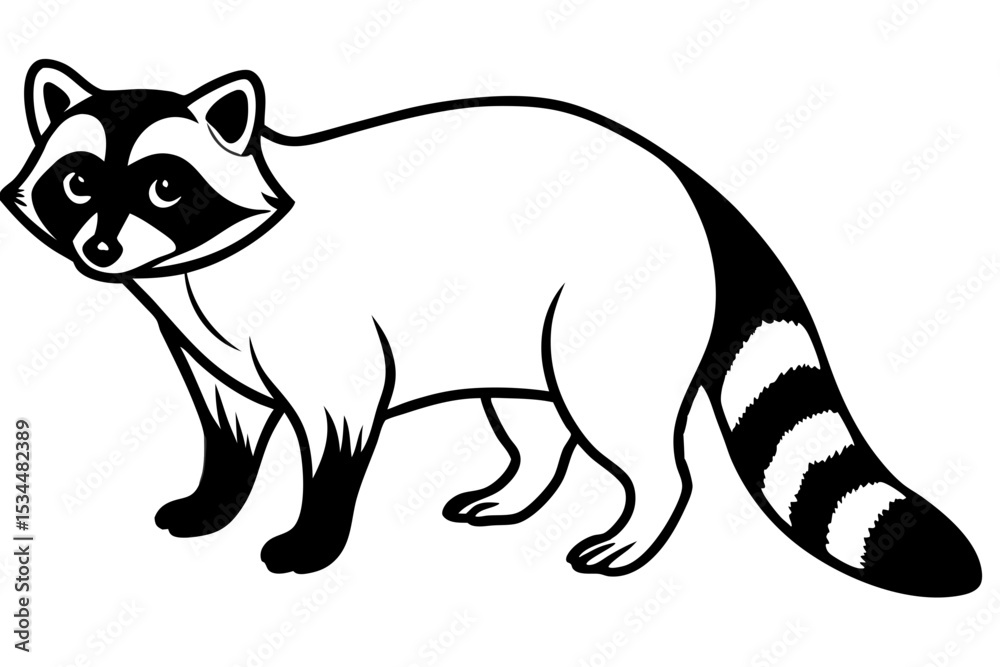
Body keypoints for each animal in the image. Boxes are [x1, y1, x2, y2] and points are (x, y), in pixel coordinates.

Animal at [2, 60, 980, 596]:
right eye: (78, 182)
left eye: (165, 186)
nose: (100, 245)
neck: (191, 272)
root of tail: (685, 177)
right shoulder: (207, 348)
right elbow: (230, 427)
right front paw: (216, 499)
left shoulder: (332, 356)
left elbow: (334, 442)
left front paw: (311, 537)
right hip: (515, 334)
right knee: (538, 422)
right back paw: (519, 487)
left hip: (603, 319)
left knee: (639, 444)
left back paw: (637, 524)